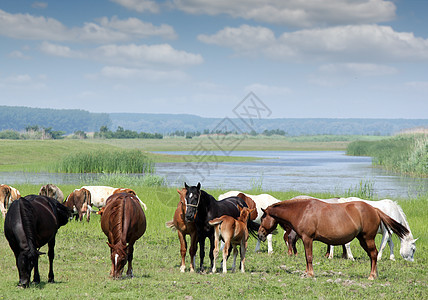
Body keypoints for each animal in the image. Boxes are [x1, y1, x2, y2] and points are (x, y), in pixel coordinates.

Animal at [258, 198, 408, 280]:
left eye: (263, 218)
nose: (260, 234)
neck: (302, 211)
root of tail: (375, 209)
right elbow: (307, 257)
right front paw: (307, 272)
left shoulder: (308, 239)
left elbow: (309, 257)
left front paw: (310, 274)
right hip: (362, 240)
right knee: (373, 256)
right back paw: (374, 274)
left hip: (368, 238)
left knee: (374, 254)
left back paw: (372, 276)